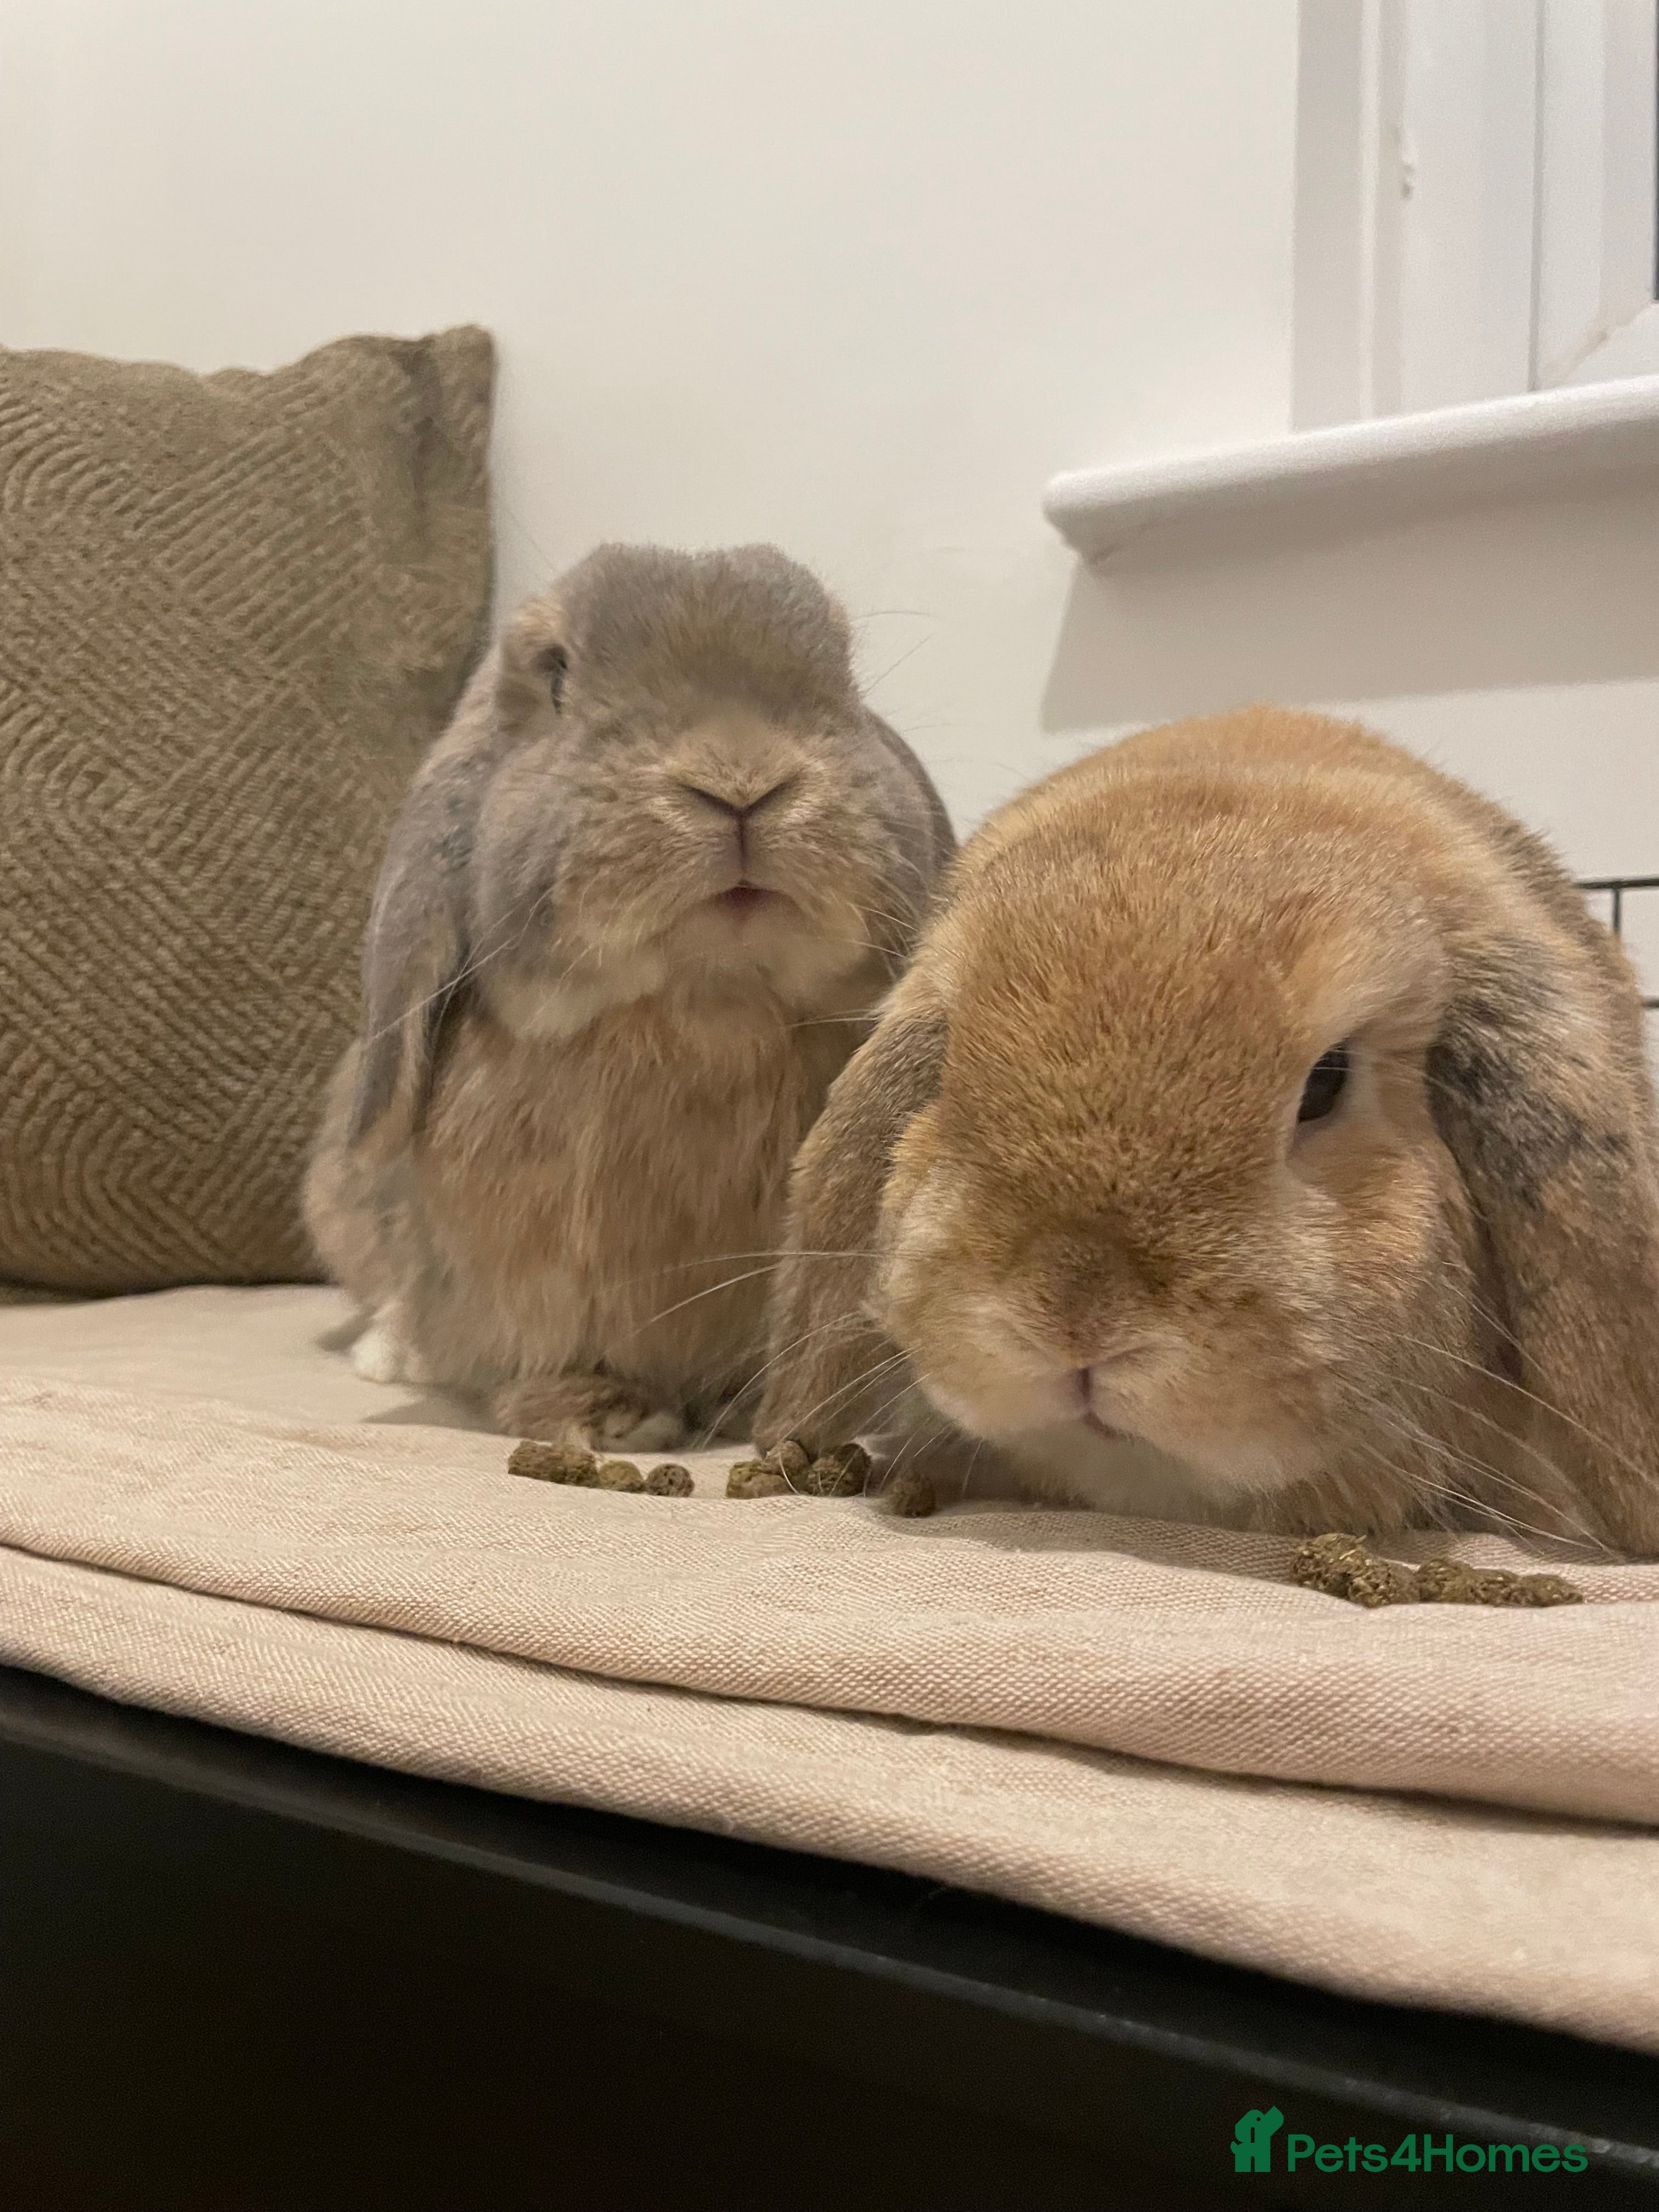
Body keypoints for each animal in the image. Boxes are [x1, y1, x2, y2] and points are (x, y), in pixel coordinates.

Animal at [304, 542, 954, 1451]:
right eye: (555, 676)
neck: (709, 1003)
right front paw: (598, 1415)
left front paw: (745, 1405)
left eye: (845, 676)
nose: (741, 780)